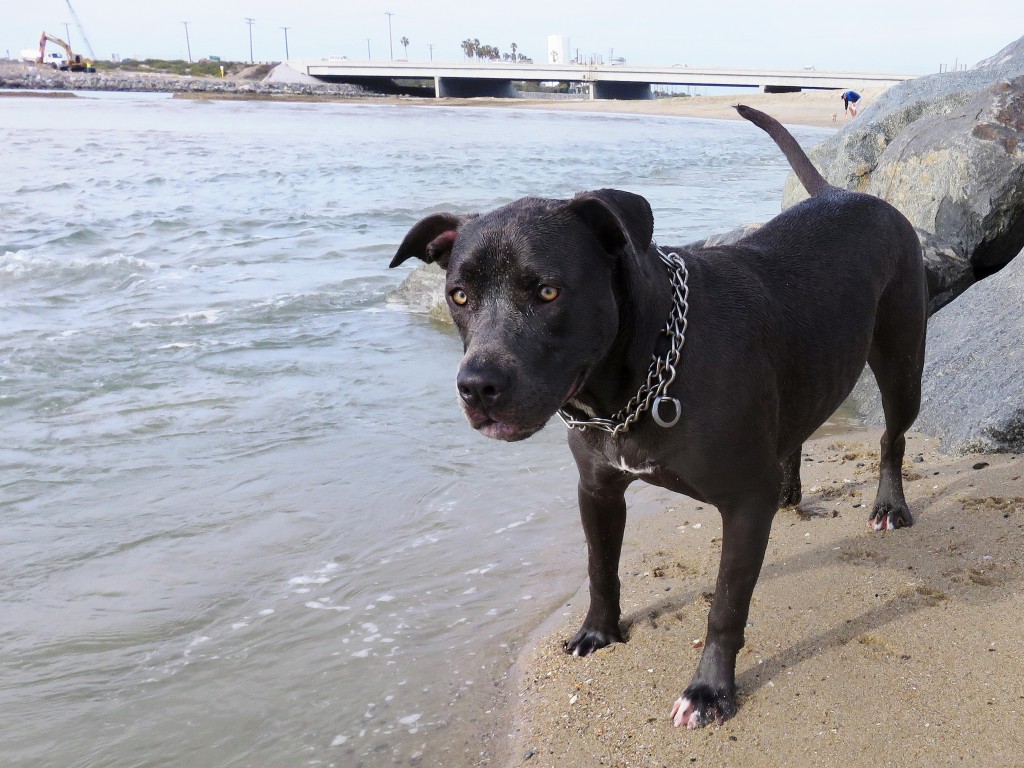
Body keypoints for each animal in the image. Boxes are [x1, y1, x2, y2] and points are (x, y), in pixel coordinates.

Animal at [385, 105, 929, 729]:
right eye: (459, 295)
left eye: (547, 292)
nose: (476, 385)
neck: (643, 371)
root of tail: (848, 193)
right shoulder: (597, 489)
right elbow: (600, 567)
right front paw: (598, 632)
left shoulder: (744, 503)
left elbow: (725, 606)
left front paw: (710, 690)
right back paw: (793, 490)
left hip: (902, 365)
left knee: (892, 437)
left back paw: (889, 505)